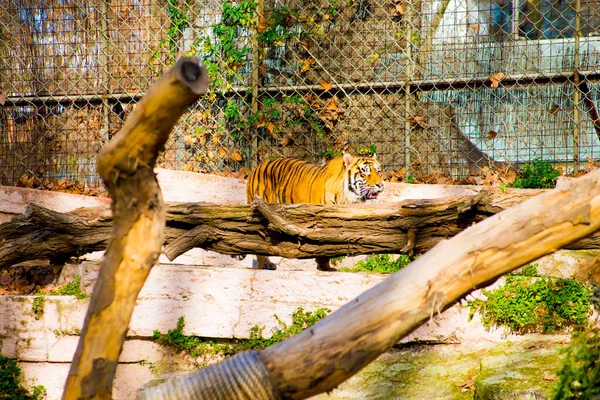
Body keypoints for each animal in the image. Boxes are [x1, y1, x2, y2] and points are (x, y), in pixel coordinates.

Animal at [247, 153, 384, 272]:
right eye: (365, 172)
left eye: (378, 171)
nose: (380, 185)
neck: (346, 197)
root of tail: (257, 167)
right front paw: (325, 266)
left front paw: (325, 266)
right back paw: (265, 264)